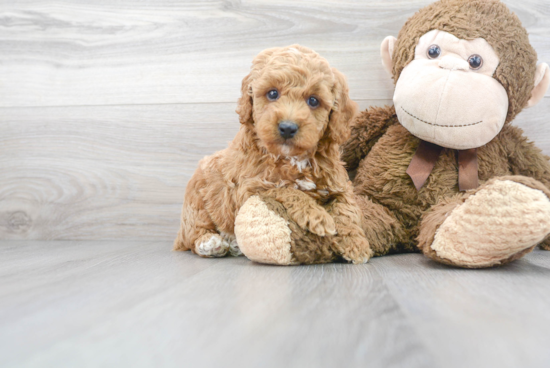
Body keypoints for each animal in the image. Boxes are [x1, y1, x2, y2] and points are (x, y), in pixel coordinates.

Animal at [175, 45, 374, 264]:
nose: (287, 128)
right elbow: (287, 190)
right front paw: (317, 216)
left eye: (313, 100)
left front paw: (356, 243)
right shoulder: (251, 187)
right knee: (193, 233)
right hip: (197, 202)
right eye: (272, 93)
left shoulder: (339, 184)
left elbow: (347, 210)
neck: (292, 158)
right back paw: (211, 243)